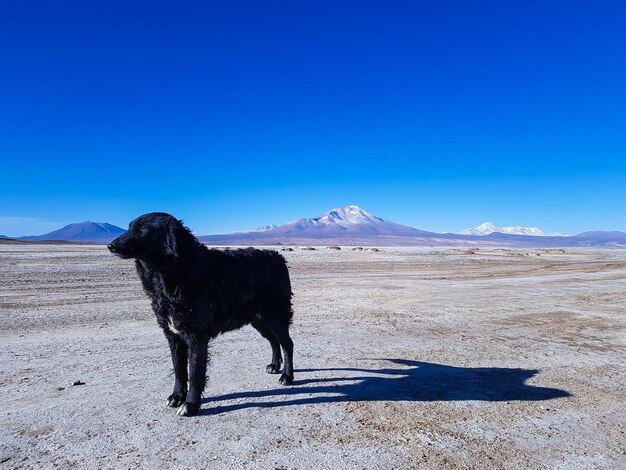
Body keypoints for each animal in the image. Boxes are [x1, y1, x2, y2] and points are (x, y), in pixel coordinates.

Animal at [106, 212, 292, 414]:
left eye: (143, 229)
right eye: (129, 227)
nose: (111, 246)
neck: (174, 273)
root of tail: (279, 257)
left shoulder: (196, 335)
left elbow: (194, 372)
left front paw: (190, 405)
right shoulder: (173, 336)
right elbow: (179, 370)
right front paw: (177, 396)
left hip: (275, 315)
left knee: (287, 344)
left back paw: (287, 376)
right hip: (258, 319)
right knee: (274, 341)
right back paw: (274, 366)